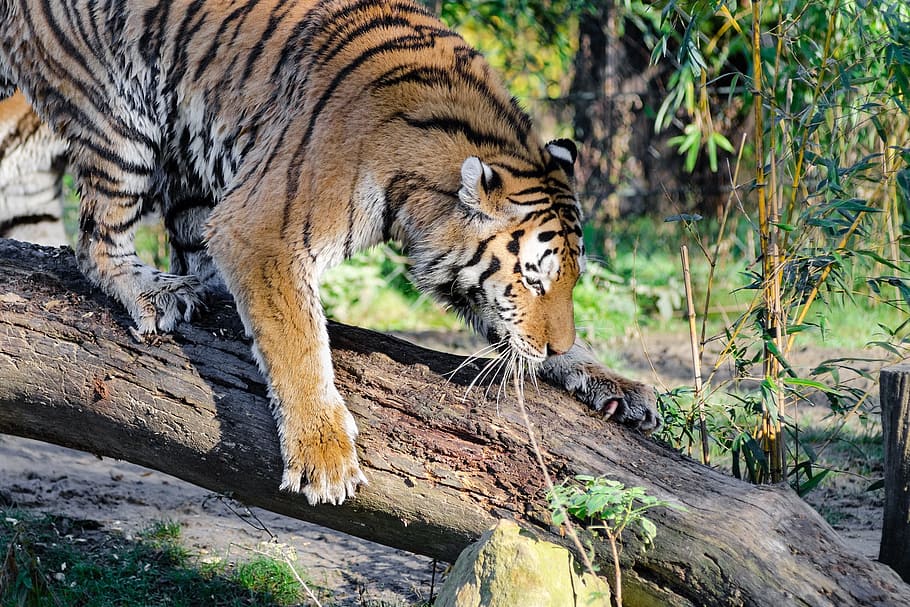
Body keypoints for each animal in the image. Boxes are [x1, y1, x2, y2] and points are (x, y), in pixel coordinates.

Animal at [0, 0, 660, 505]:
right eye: (533, 279)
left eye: (570, 282)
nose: (559, 346)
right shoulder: (261, 228)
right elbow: (298, 341)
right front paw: (324, 456)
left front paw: (611, 380)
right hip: (120, 120)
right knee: (95, 242)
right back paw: (155, 292)